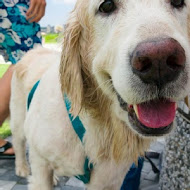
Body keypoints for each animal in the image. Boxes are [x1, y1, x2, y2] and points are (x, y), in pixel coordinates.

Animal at [10, 0, 190, 190]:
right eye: (107, 6)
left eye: (178, 2)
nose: (159, 61)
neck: (94, 125)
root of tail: (34, 51)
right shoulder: (40, 163)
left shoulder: (108, 179)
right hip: (19, 118)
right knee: (18, 141)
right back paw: (22, 167)